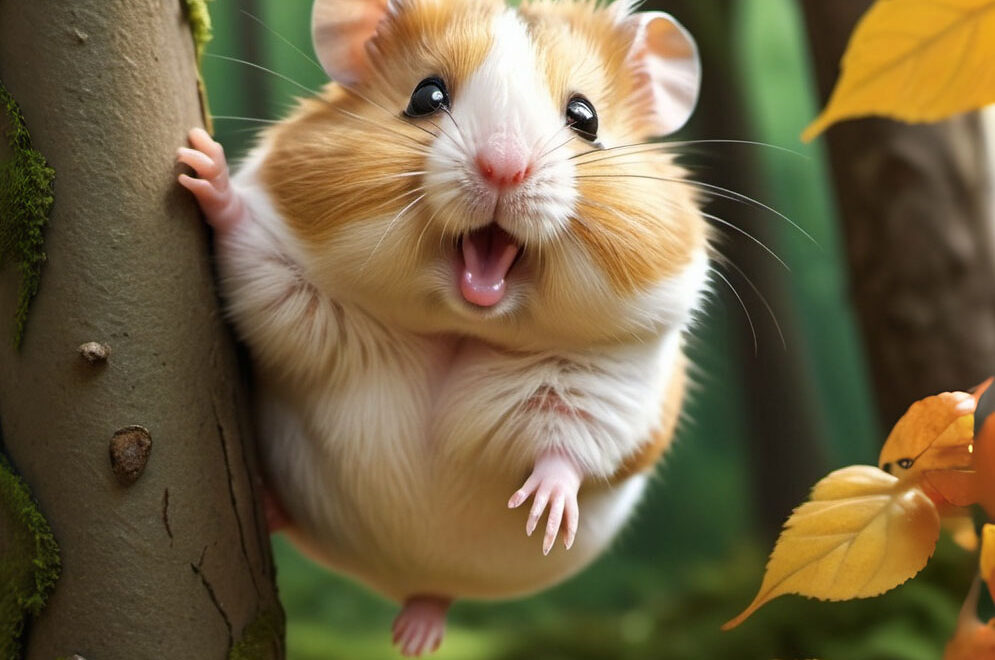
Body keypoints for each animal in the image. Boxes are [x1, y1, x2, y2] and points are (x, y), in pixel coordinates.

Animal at [177, 0, 708, 655]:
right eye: (426, 95)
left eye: (585, 117)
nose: (504, 167)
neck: (459, 329)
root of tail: (396, 577)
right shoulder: (284, 276)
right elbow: (246, 242)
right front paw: (202, 164)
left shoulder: (615, 374)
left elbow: (572, 441)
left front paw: (542, 514)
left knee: (437, 595)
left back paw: (416, 636)